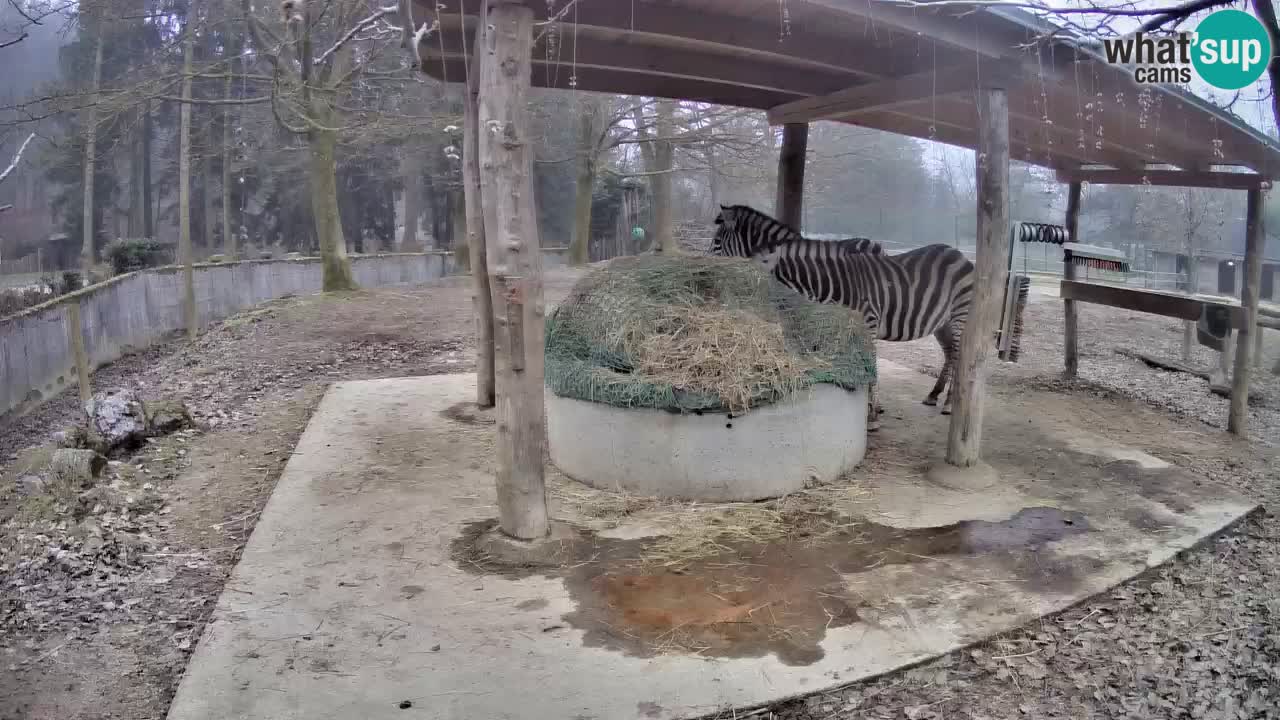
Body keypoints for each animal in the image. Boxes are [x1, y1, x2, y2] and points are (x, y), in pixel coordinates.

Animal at [711, 202, 967, 427]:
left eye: (716, 241)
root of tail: (957, 253)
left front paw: (871, 415)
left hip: (958, 316)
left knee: (958, 355)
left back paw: (948, 404)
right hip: (941, 322)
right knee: (949, 353)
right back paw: (933, 395)